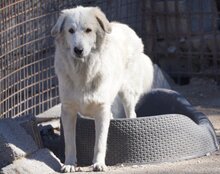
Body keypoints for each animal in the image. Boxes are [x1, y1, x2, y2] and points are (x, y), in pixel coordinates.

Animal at [51, 5, 154, 173]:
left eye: (88, 30)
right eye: (70, 30)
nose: (78, 50)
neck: (83, 72)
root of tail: (127, 28)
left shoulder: (101, 109)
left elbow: (100, 142)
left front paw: (99, 164)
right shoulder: (68, 110)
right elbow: (70, 143)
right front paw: (69, 164)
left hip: (127, 94)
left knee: (131, 113)